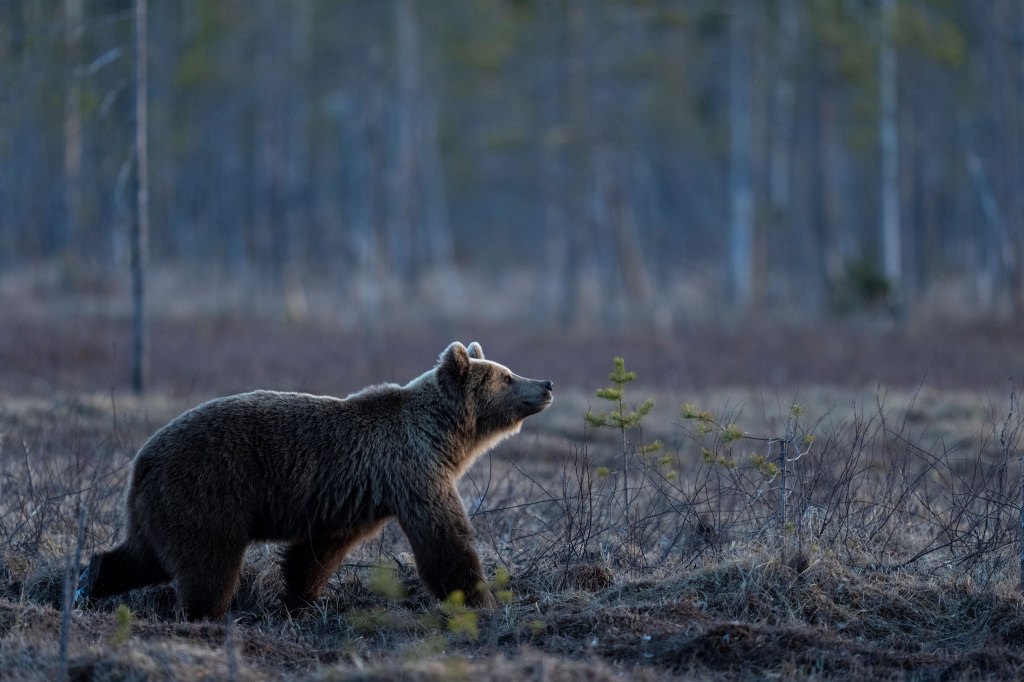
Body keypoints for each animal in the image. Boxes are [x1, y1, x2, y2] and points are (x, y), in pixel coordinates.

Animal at [80, 341, 553, 620]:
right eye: (507, 375)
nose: (546, 382)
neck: (444, 437)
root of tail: (143, 458)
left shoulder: (359, 492)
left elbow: (318, 551)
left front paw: (299, 599)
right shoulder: (412, 473)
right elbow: (445, 541)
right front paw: (482, 599)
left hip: (162, 504)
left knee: (143, 555)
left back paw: (89, 581)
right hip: (207, 488)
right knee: (207, 564)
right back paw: (203, 615)